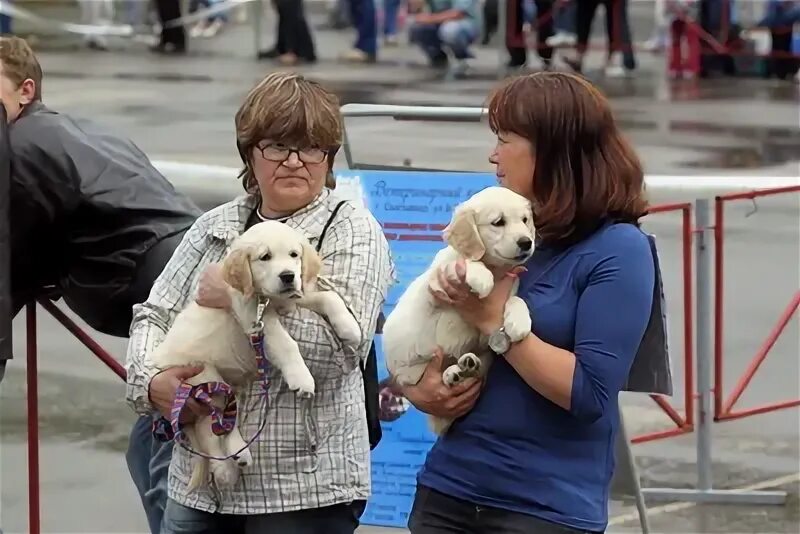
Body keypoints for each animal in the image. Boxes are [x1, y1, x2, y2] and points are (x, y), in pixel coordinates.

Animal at [148, 220, 362, 492]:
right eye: (265, 257)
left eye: (294, 255)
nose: (288, 276)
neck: (269, 298)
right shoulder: (256, 319)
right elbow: (287, 344)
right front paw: (302, 379)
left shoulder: (294, 299)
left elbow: (329, 296)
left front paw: (350, 328)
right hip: (205, 378)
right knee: (209, 427)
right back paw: (229, 466)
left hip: (230, 387)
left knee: (225, 421)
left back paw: (236, 457)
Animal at [382, 187, 536, 436]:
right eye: (498, 222)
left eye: (524, 220)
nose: (526, 242)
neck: (497, 269)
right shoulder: (434, 288)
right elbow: (460, 263)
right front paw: (481, 277)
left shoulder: (490, 324)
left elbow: (516, 299)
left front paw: (519, 322)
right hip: (411, 370)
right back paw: (452, 374)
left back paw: (465, 366)